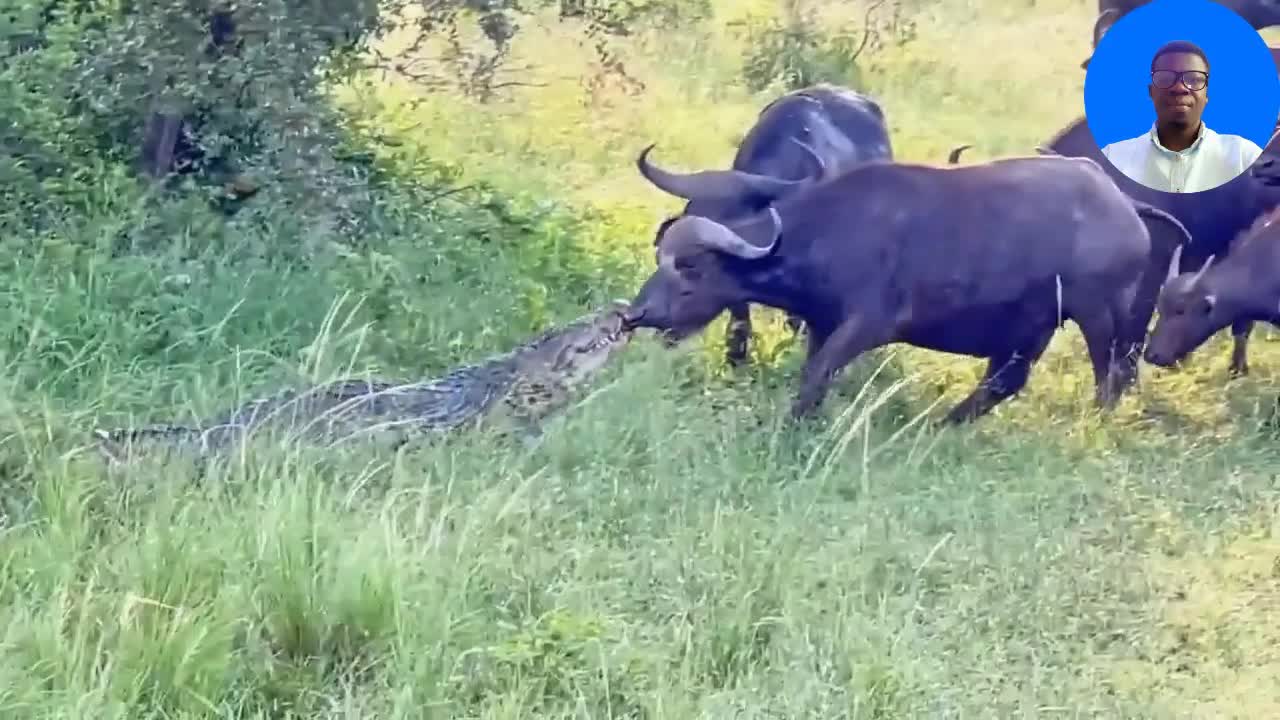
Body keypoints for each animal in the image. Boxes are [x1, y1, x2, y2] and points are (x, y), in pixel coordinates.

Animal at [616, 151, 1187, 420]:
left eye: (691, 268)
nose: (637, 314)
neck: (826, 233)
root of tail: (1125, 204)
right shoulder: (823, 326)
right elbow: (814, 377)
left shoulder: (867, 325)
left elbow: (816, 376)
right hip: (1030, 327)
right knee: (1004, 382)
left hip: (1097, 314)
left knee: (1109, 375)